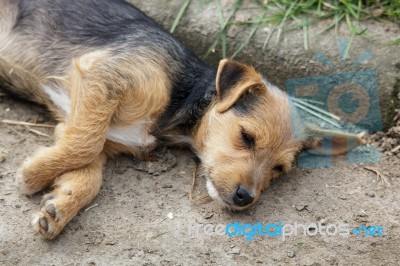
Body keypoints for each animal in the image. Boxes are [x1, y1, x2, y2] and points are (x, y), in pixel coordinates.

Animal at [0, 0, 364, 238]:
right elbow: (84, 143)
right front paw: (32, 176)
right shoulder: (104, 75)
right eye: (246, 137)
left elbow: (88, 165)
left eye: (279, 170)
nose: (245, 198)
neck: (183, 99)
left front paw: (60, 206)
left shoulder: (94, 121)